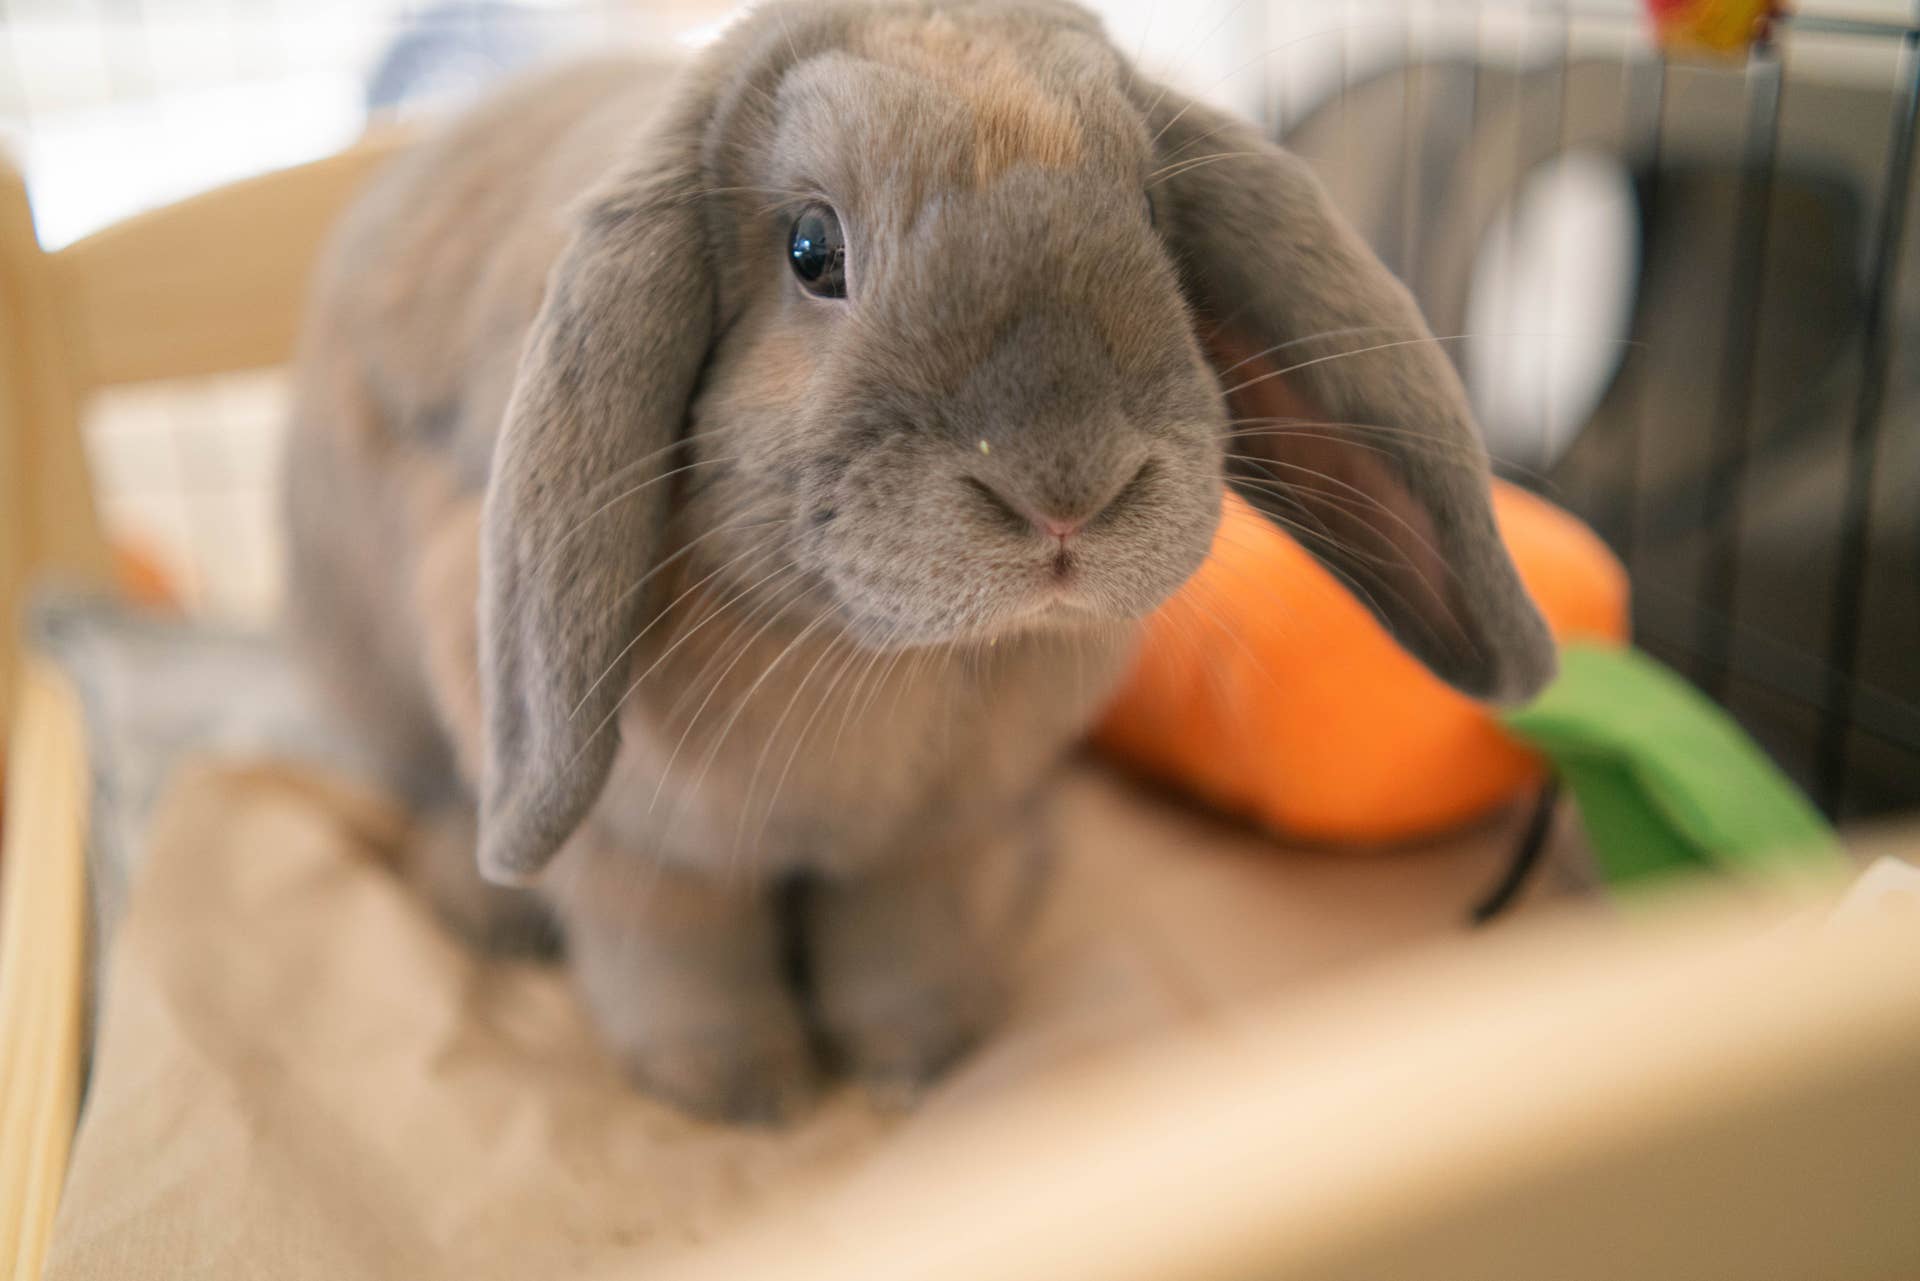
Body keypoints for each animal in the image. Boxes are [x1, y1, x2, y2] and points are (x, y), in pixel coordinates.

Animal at [284, 0, 1555, 1122]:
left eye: (1155, 219)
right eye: (811, 249)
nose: (1069, 491)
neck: (895, 662)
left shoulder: (933, 842)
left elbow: (900, 941)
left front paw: (917, 1058)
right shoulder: (636, 852)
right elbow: (681, 957)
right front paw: (741, 1095)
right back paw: (483, 905)